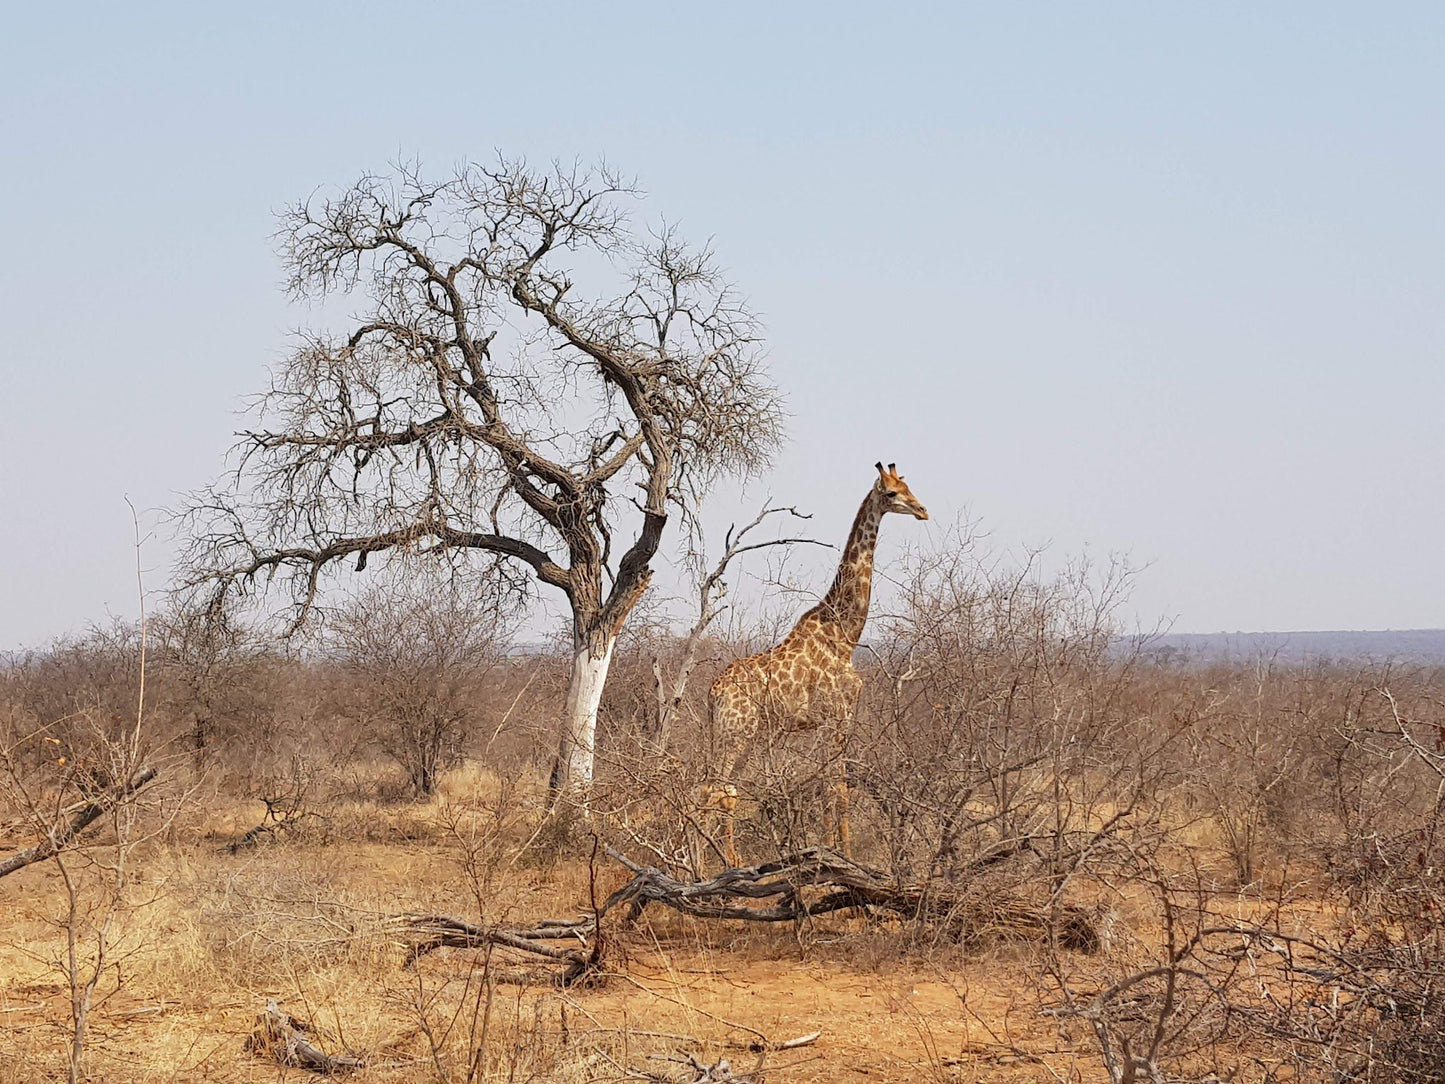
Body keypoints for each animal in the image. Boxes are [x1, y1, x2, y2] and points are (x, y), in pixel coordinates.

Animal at [705, 459, 930, 867]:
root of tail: (712, 693)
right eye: (892, 493)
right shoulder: (837, 716)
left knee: (722, 789)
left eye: (909, 486)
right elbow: (836, 790)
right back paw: (706, 865)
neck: (845, 635)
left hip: (739, 736)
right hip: (735, 732)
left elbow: (832, 788)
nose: (923, 511)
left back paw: (720, 861)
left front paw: (833, 853)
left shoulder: (834, 721)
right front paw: (838, 857)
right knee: (715, 789)